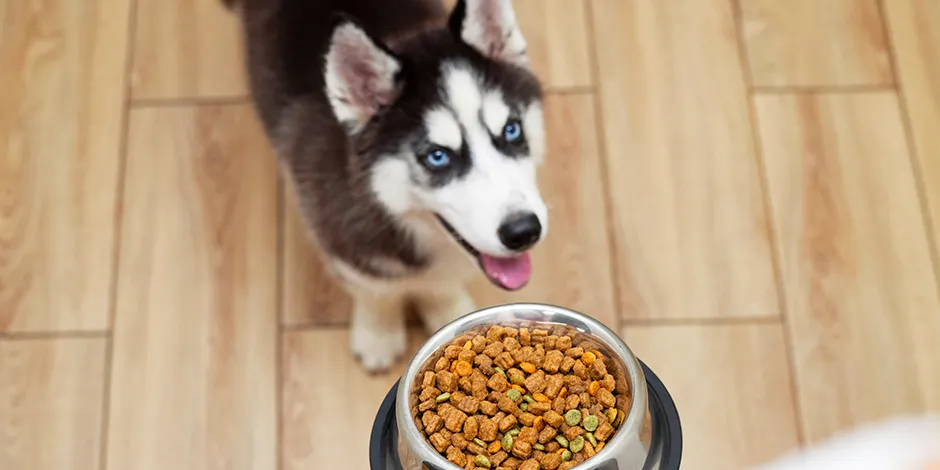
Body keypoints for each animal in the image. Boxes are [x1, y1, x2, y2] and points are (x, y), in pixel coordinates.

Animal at [226, 0, 552, 370]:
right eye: (437, 156)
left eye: (512, 130)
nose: (523, 231)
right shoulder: (345, 243)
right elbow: (376, 292)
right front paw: (378, 333)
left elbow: (440, 286)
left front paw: (450, 314)